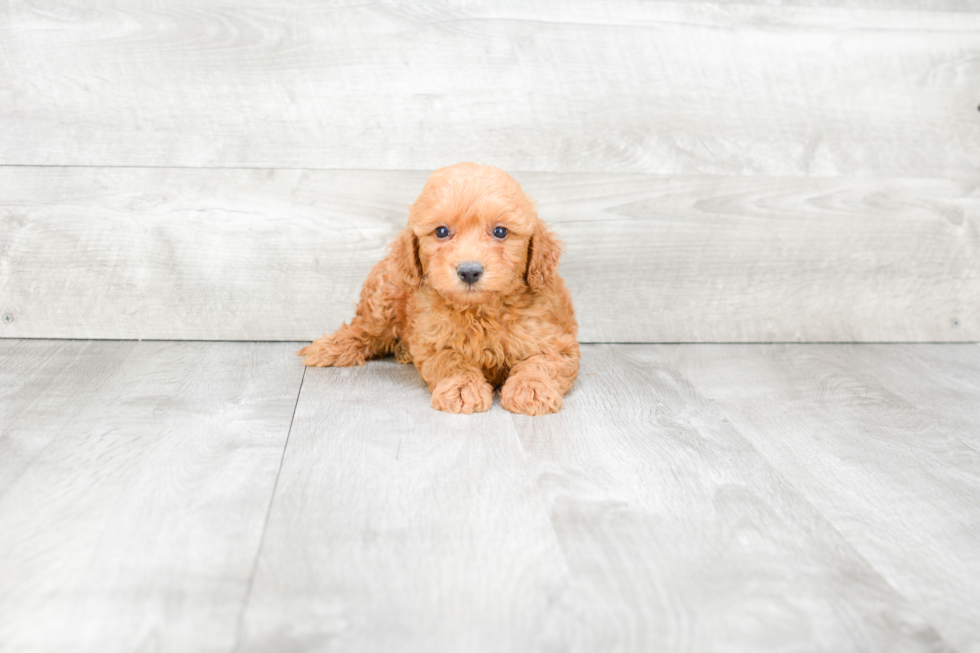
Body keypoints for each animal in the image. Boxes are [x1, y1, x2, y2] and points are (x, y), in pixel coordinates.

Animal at [294, 164, 580, 418]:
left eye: (500, 232)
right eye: (441, 232)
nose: (469, 271)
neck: (481, 310)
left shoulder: (557, 341)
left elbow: (542, 362)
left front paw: (531, 388)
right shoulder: (435, 342)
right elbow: (452, 361)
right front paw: (462, 388)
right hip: (383, 298)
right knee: (364, 330)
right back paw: (330, 347)